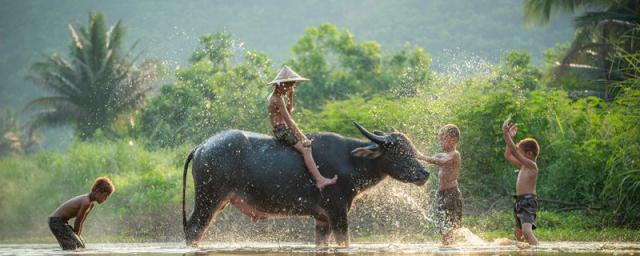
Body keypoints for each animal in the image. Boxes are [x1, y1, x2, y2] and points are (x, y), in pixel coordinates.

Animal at [182, 123, 428, 247]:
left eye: (411, 149)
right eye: (399, 152)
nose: (424, 173)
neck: (350, 161)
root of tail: (202, 146)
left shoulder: (322, 218)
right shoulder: (337, 212)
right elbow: (344, 242)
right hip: (208, 199)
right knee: (194, 229)